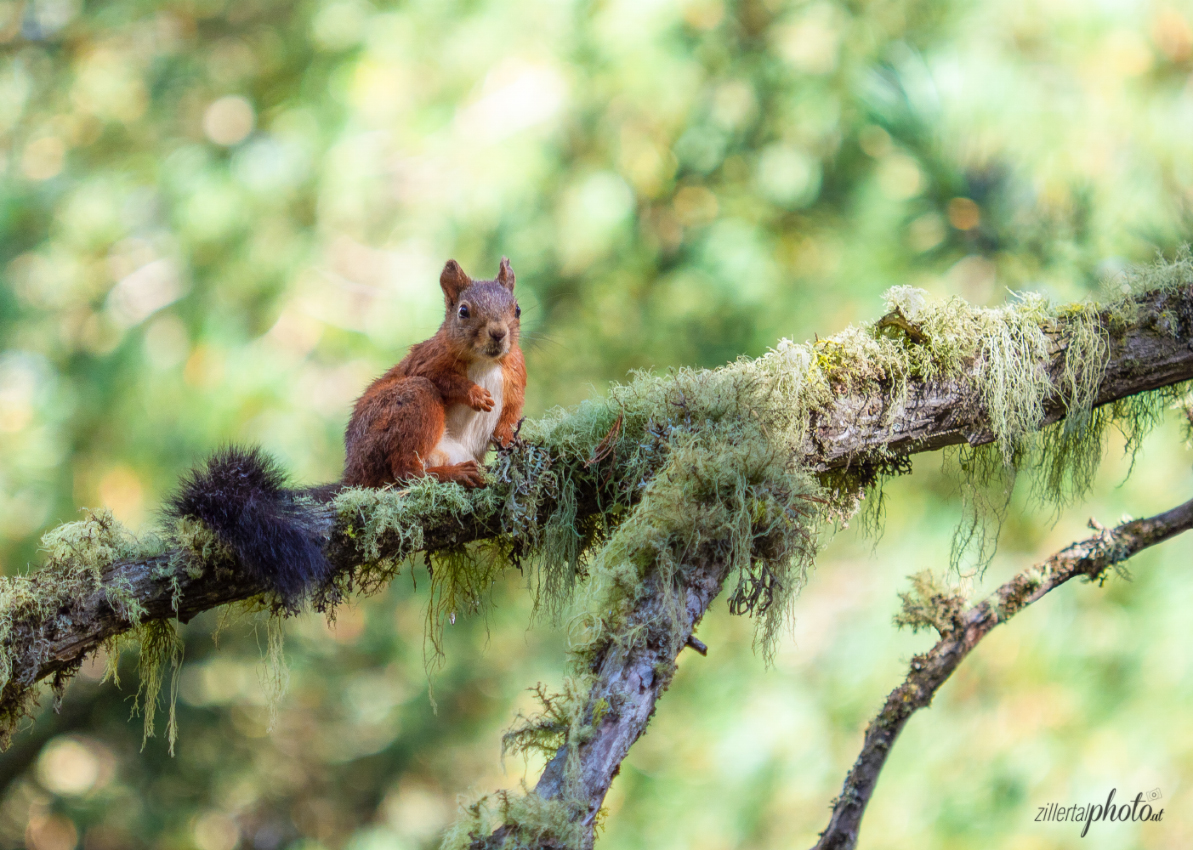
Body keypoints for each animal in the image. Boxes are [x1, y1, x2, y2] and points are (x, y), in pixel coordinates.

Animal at [343, 255, 524, 487]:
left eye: (517, 310)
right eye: (463, 311)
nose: (498, 333)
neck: (485, 361)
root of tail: (354, 473)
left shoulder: (516, 375)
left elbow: (510, 414)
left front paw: (511, 440)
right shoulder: (426, 360)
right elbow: (441, 378)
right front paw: (474, 393)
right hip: (412, 402)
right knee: (406, 472)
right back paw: (454, 473)